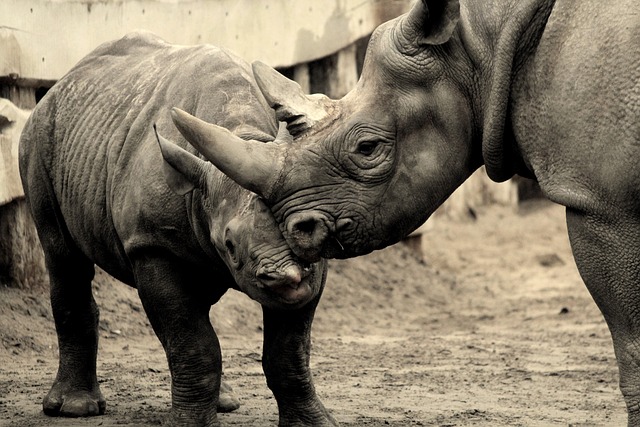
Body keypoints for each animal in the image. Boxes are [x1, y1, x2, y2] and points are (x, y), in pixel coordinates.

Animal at [17, 31, 336, 426]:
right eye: (230, 245)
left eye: (302, 230)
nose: (283, 279)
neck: (243, 135)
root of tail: (58, 85)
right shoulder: (152, 243)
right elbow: (192, 341)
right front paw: (191, 423)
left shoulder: (315, 261)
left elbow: (289, 352)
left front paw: (313, 424)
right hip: (39, 138)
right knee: (63, 257)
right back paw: (74, 408)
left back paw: (224, 401)